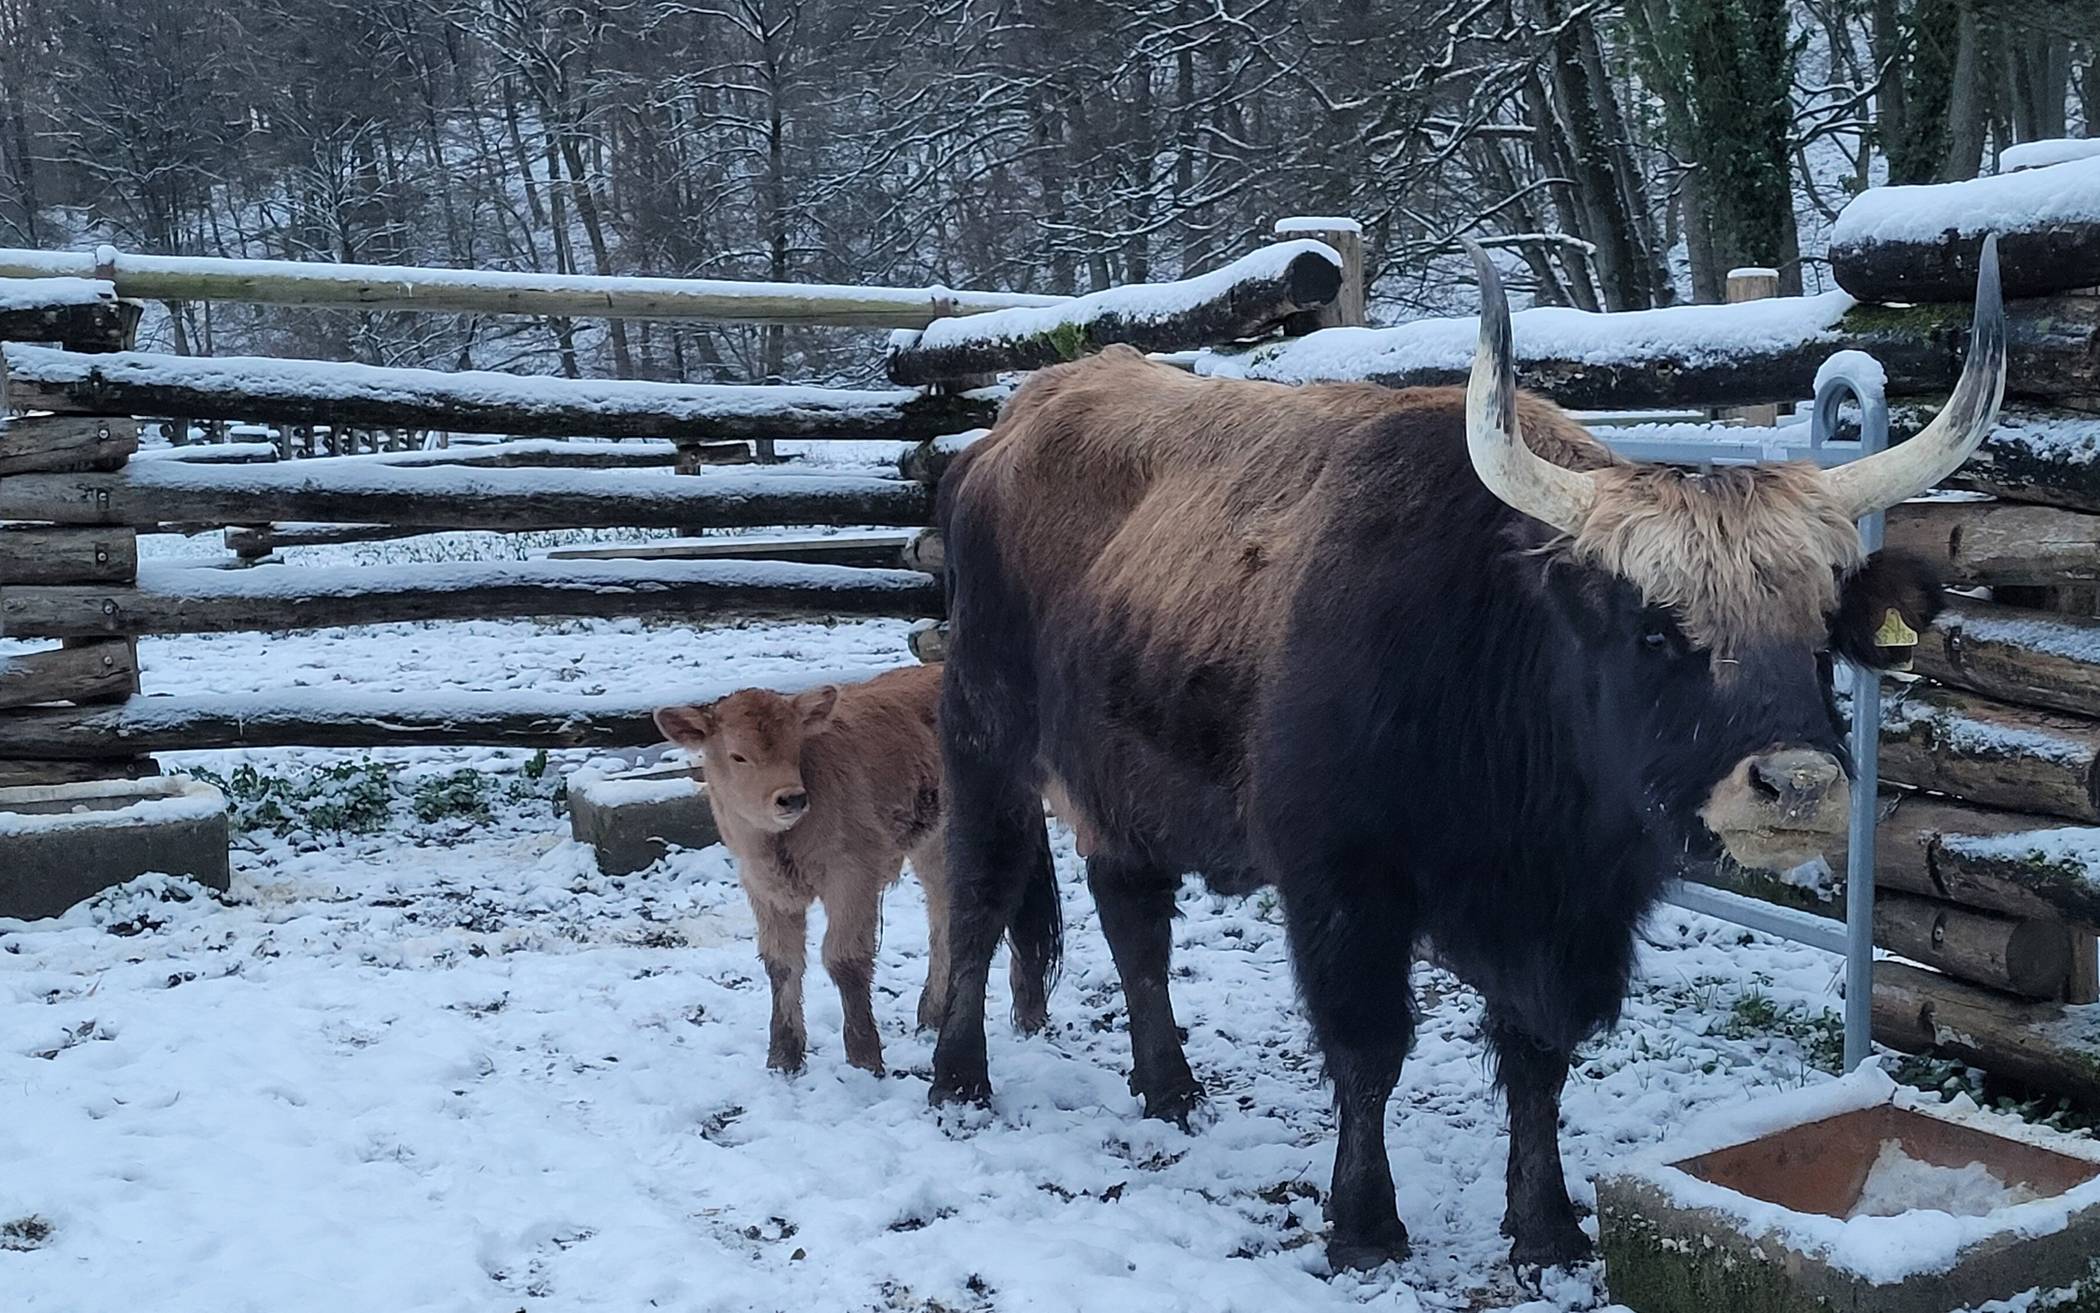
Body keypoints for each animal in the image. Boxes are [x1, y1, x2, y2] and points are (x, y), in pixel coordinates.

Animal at [655, 659, 1058, 1071]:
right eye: (738, 756)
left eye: (795, 746)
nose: (791, 798)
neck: (779, 844)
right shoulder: (763, 886)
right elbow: (781, 963)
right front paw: (783, 1057)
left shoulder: (852, 874)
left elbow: (844, 958)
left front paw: (864, 1056)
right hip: (935, 841)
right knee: (945, 911)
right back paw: (933, 1013)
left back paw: (1028, 1013)